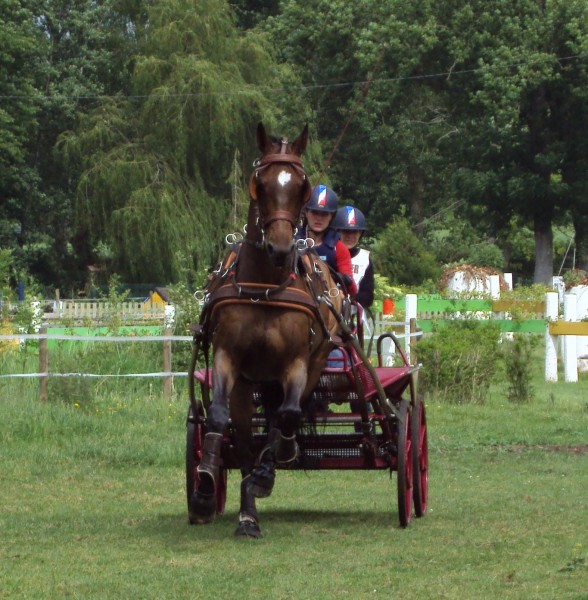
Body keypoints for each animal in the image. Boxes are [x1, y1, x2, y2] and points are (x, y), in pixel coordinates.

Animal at [188, 122, 344, 540]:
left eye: (302, 186)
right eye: (260, 182)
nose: (280, 247)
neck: (266, 287)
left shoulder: (298, 364)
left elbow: (287, 415)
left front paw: (271, 468)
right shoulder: (227, 358)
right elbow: (218, 418)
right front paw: (206, 482)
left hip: (315, 365)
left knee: (283, 417)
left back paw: (270, 467)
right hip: (247, 384)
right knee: (242, 440)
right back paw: (247, 513)